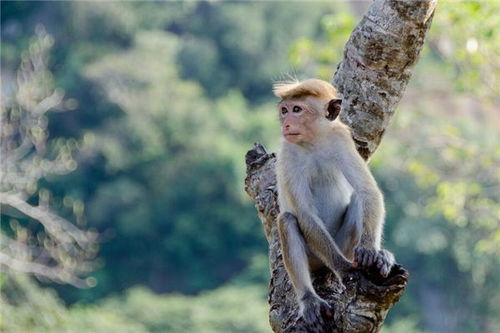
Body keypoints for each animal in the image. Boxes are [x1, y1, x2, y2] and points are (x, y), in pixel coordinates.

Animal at [274, 78, 394, 330]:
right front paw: (344, 268)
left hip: (343, 243)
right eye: (284, 110)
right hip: (316, 256)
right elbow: (305, 214)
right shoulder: (288, 154)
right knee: (287, 220)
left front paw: (372, 251)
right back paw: (309, 300)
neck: (313, 142)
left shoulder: (341, 140)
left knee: (358, 198)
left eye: (297, 109)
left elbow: (367, 191)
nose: (287, 124)